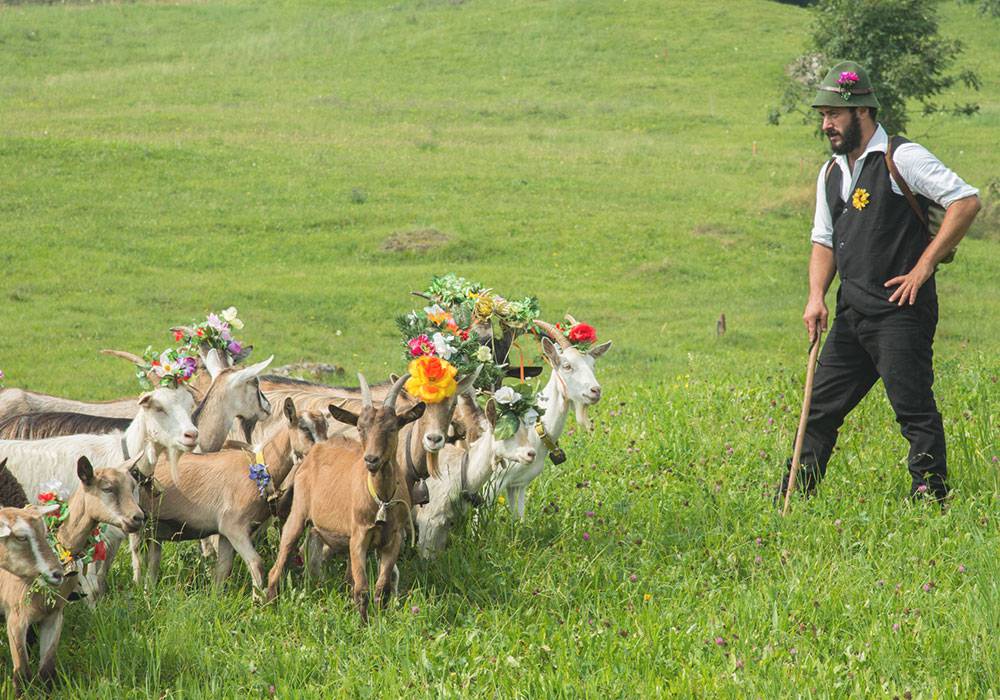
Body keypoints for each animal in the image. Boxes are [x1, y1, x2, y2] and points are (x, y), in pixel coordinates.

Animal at [266, 374, 422, 620]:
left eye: (392, 428)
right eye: (360, 428)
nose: (371, 459)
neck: (381, 498)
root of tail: (313, 453)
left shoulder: (393, 538)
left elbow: (381, 586)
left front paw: (378, 619)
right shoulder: (359, 535)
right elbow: (362, 588)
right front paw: (363, 623)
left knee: (316, 562)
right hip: (298, 514)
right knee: (279, 562)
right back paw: (268, 604)